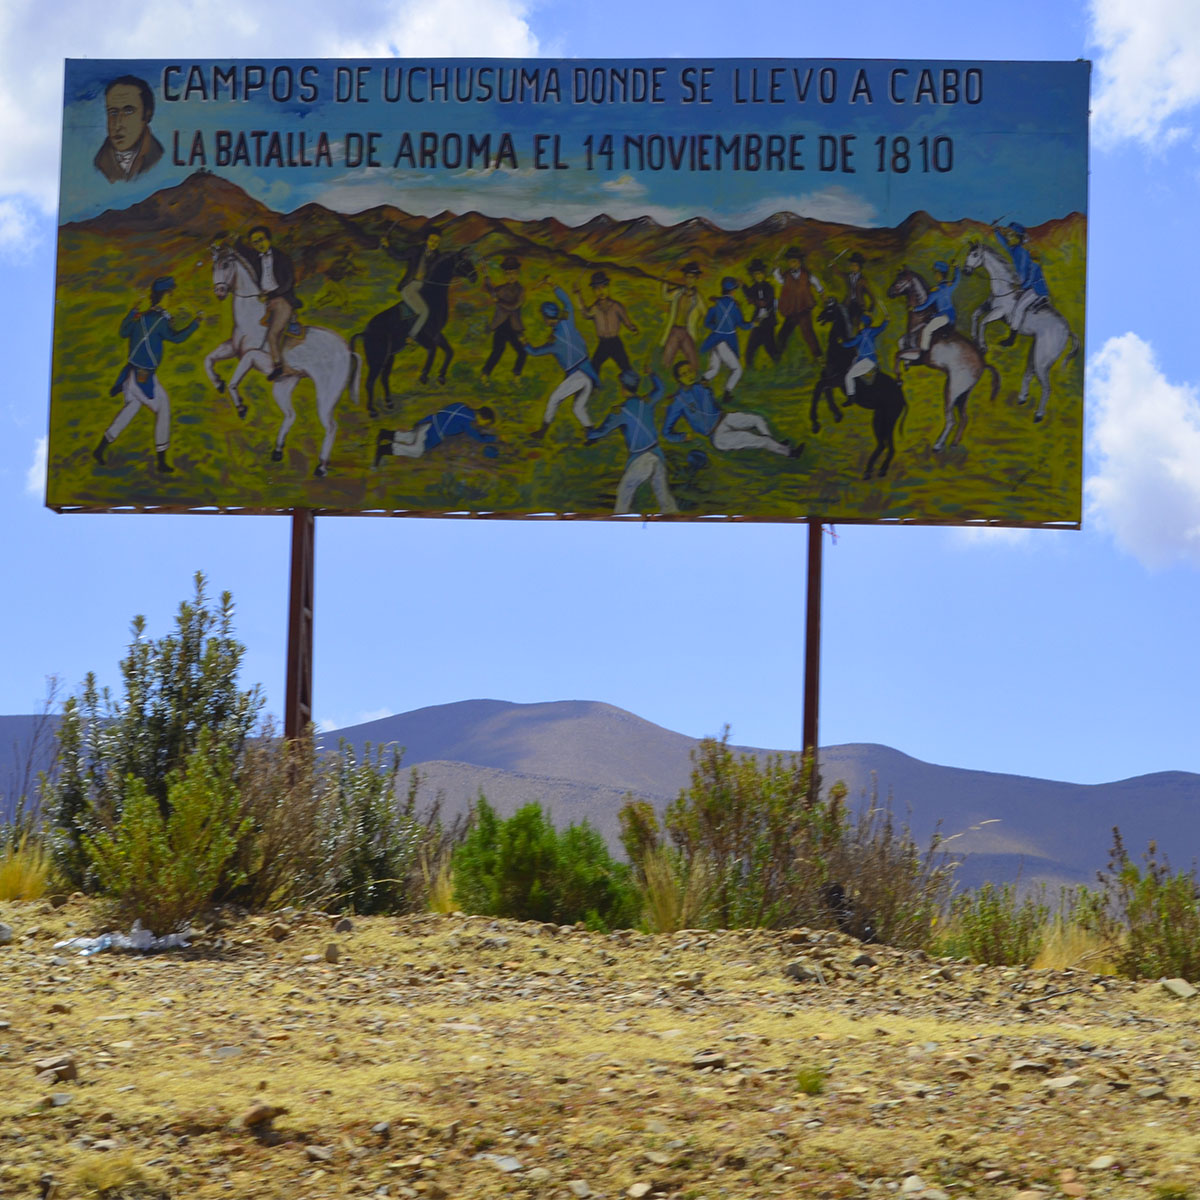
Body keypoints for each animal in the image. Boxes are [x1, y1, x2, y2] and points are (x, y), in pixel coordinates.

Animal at [204, 244, 360, 477]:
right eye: (214, 266)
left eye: (226, 264)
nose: (220, 292)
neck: (252, 318)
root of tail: (348, 351)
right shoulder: (233, 349)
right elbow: (208, 359)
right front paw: (218, 383)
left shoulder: (257, 357)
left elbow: (235, 380)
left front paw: (241, 408)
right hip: (284, 384)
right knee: (290, 415)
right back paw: (277, 451)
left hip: (326, 394)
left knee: (331, 426)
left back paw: (321, 467)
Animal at [350, 246, 477, 415]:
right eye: (463, 262)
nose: (475, 277)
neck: (432, 295)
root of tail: (366, 332)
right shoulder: (422, 336)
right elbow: (433, 350)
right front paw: (424, 377)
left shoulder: (436, 334)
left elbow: (449, 352)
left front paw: (441, 377)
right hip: (377, 358)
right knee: (370, 382)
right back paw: (372, 411)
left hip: (389, 357)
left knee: (384, 378)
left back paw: (389, 403)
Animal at [816, 297, 907, 480]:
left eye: (829, 309)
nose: (818, 317)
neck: (840, 350)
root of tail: (902, 396)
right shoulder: (830, 377)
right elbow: (824, 389)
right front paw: (837, 414)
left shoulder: (837, 380)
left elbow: (819, 386)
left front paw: (816, 423)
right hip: (880, 418)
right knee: (884, 445)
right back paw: (871, 470)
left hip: (888, 419)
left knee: (888, 446)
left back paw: (877, 470)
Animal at [888, 270, 998, 451]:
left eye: (900, 281)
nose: (890, 292)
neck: (922, 317)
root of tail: (983, 364)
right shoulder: (909, 344)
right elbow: (900, 343)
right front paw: (906, 366)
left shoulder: (917, 352)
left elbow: (898, 353)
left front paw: (899, 377)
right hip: (963, 395)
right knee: (964, 417)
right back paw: (954, 443)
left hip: (951, 390)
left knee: (951, 420)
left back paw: (939, 445)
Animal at [964, 237, 1080, 422]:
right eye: (969, 253)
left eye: (975, 254)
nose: (966, 271)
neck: (1004, 288)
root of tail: (1067, 331)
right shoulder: (988, 305)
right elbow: (975, 316)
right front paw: (974, 337)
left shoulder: (999, 312)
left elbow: (983, 322)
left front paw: (983, 346)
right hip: (1036, 352)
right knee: (1028, 374)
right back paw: (1022, 398)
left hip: (1043, 360)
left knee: (1046, 387)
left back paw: (1039, 415)